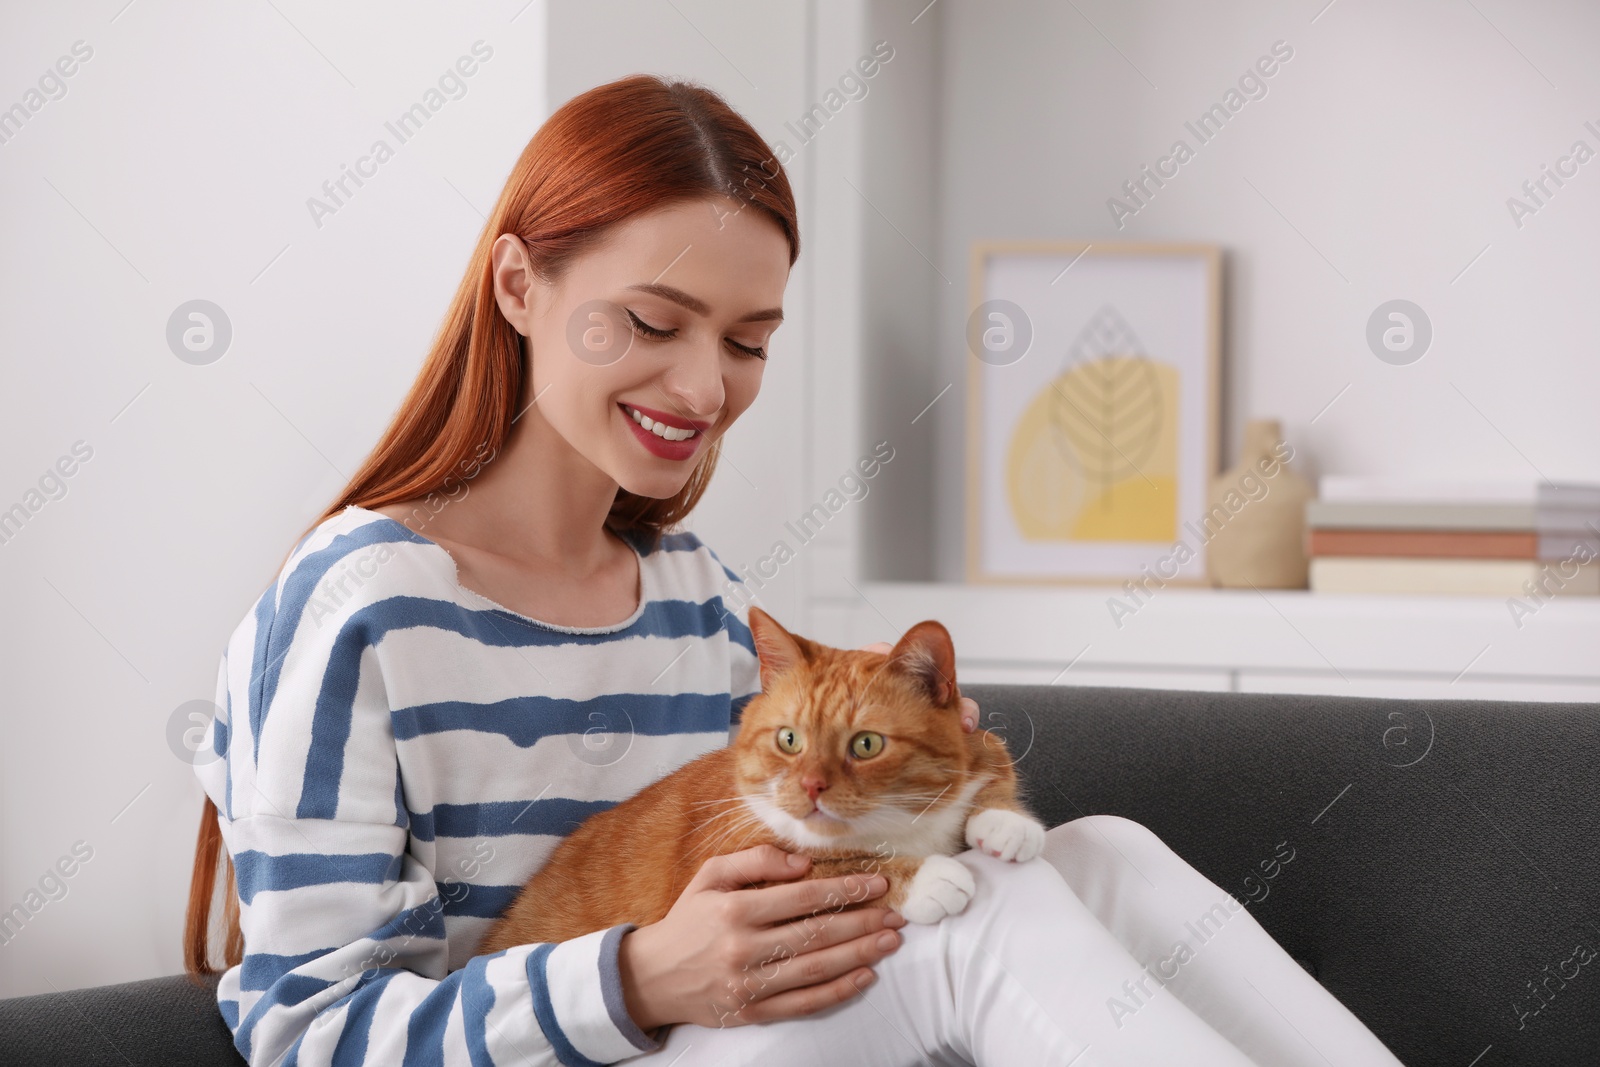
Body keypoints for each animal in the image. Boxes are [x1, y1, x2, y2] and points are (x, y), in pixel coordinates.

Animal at [473, 604, 1049, 953]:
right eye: (789, 740)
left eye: (866, 744)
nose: (812, 787)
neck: (903, 826)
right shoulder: (737, 879)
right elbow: (843, 870)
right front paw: (927, 877)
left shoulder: (981, 748)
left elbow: (993, 773)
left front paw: (1005, 824)